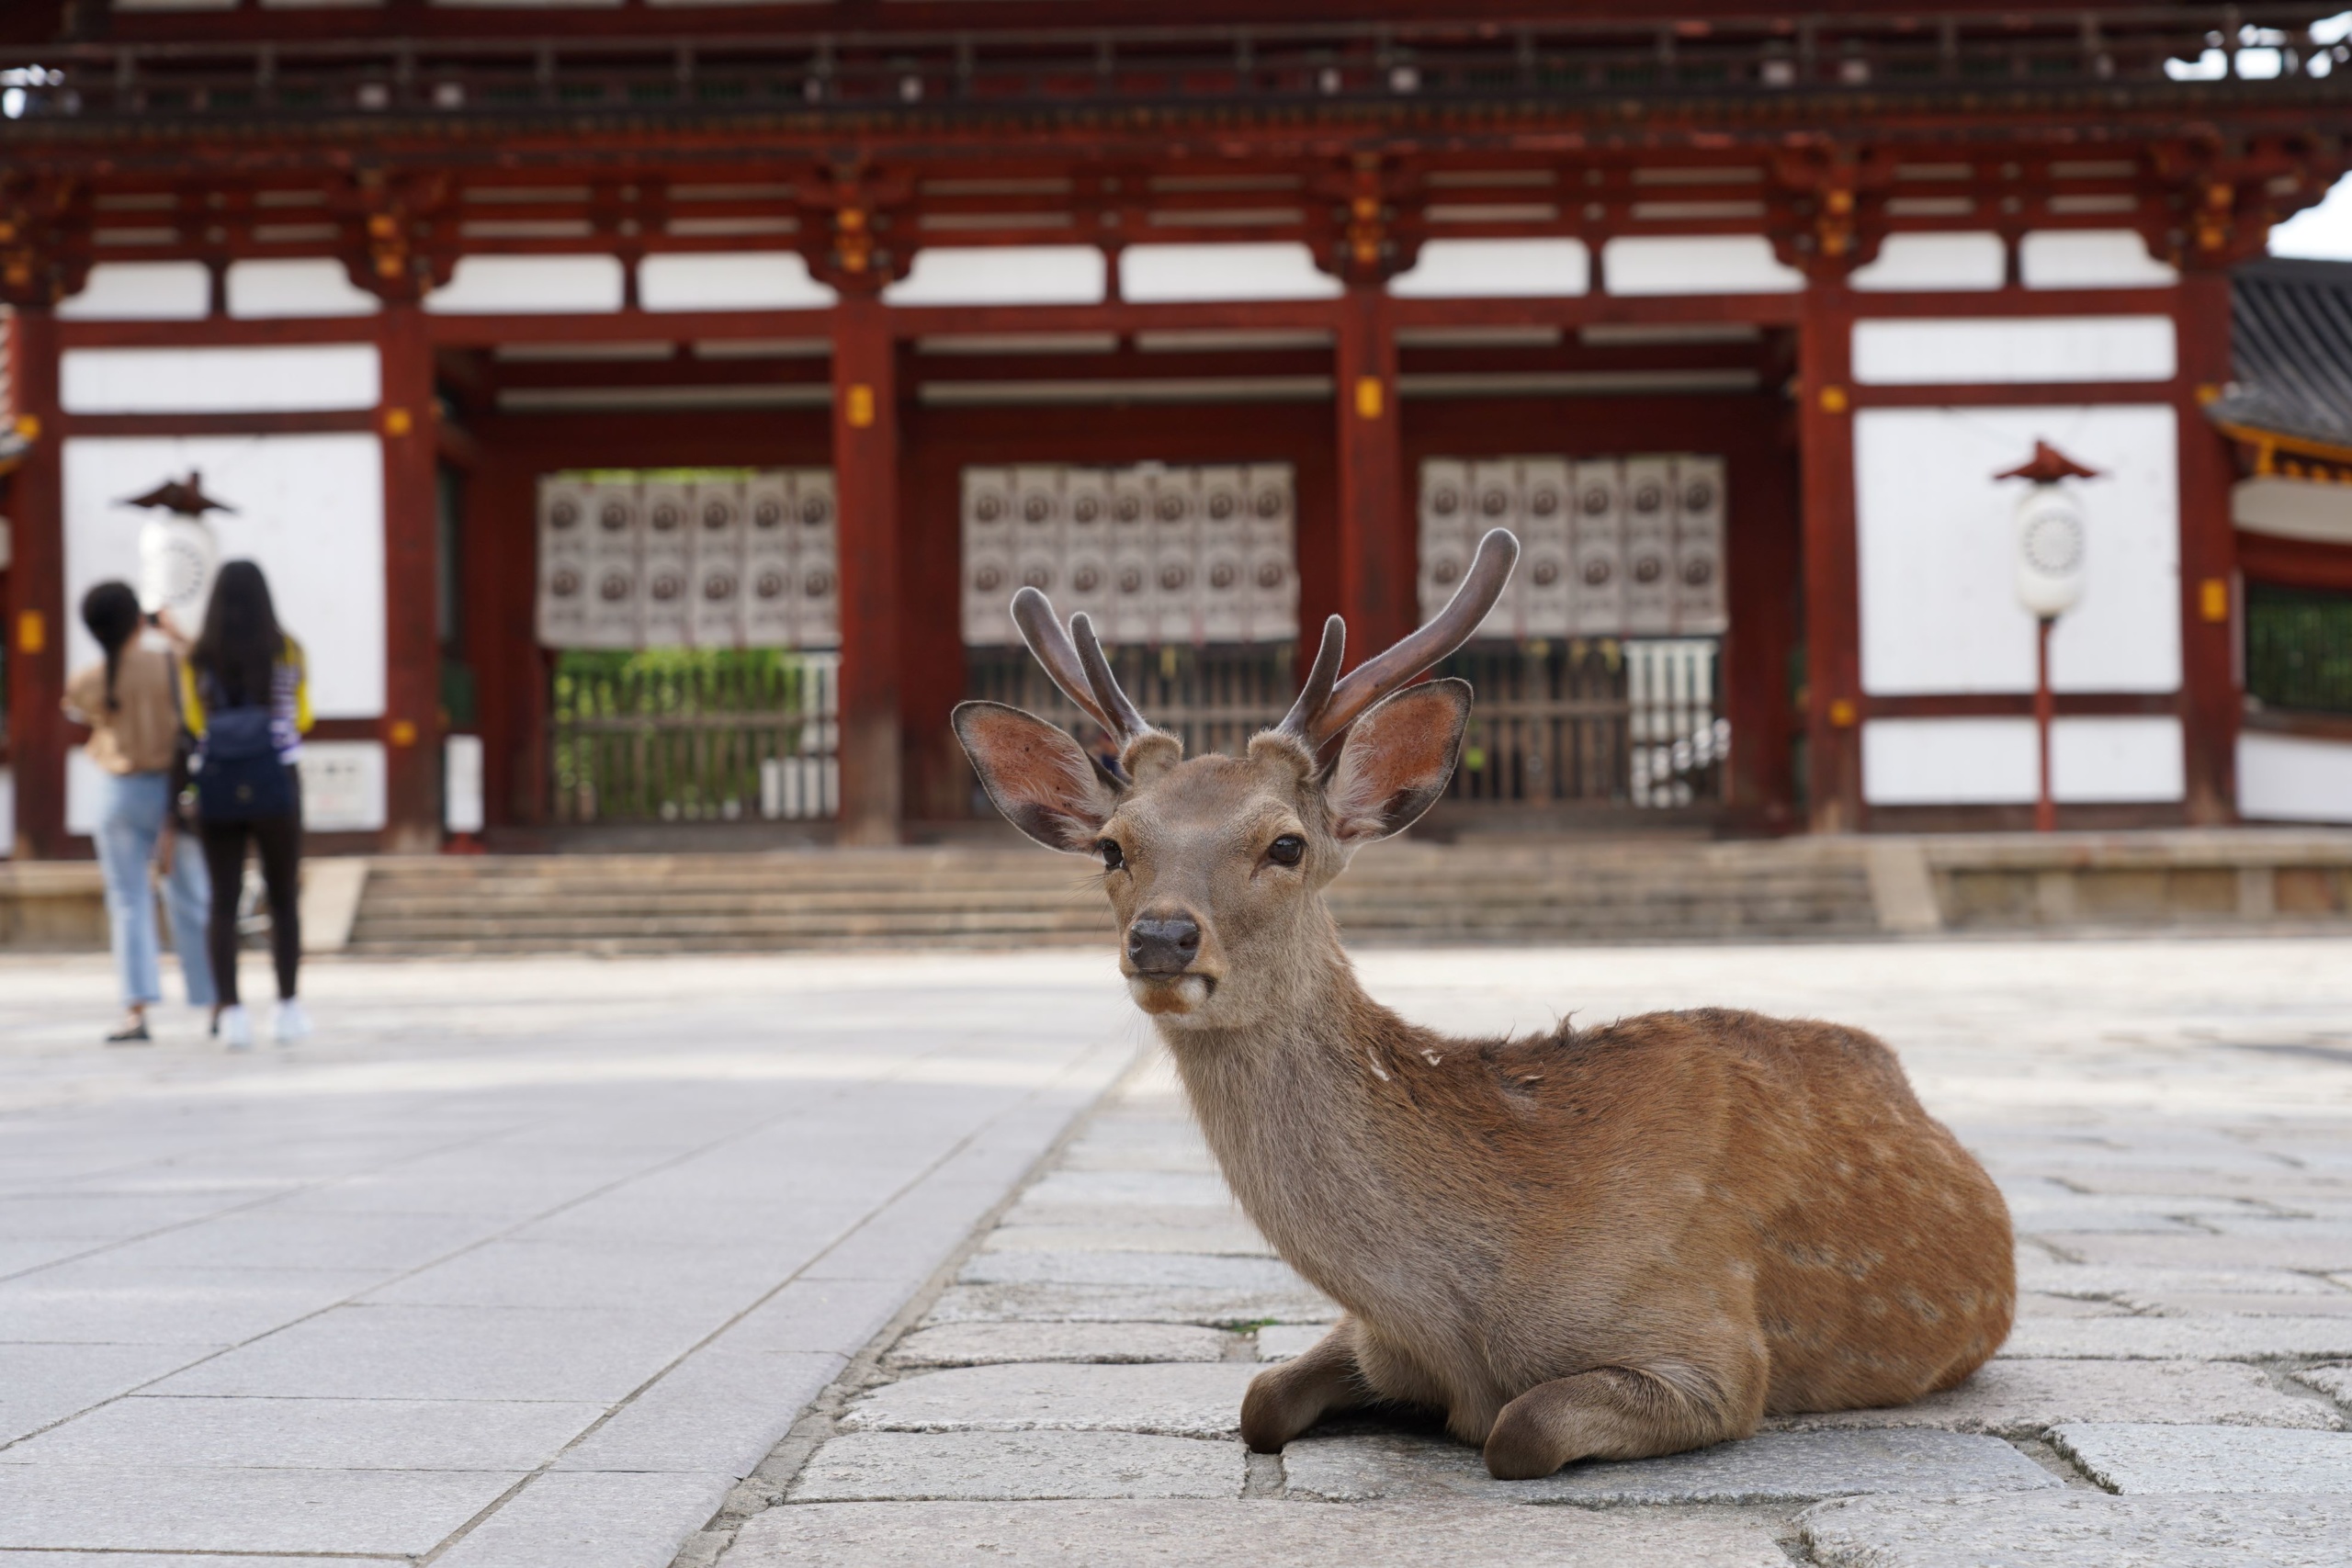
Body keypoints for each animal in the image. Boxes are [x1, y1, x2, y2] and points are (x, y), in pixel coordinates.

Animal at [945, 531, 2013, 1485]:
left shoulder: (1711, 1347)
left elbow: (1519, 1429)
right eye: (1113, 846)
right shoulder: (1370, 1336)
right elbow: (1257, 1402)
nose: (1163, 937)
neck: (1458, 1322)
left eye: (1286, 843)